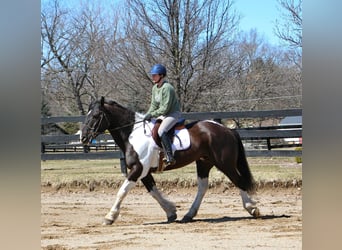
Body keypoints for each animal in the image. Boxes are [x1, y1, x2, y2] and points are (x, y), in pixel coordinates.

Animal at [81, 96, 260, 225]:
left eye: (96, 116)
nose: (83, 138)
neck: (132, 133)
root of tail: (226, 129)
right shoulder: (144, 172)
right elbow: (153, 192)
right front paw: (171, 212)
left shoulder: (138, 170)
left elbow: (122, 191)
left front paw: (110, 217)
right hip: (204, 163)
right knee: (203, 187)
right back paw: (189, 215)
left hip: (225, 164)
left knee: (238, 180)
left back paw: (252, 208)